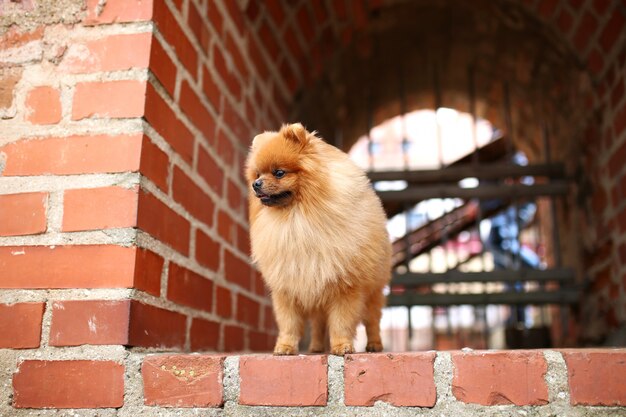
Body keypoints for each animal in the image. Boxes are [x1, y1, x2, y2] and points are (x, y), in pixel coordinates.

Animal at [245, 122, 388, 354]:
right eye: (257, 174)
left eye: (279, 173)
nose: (256, 184)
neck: (296, 220)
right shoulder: (287, 288)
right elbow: (289, 324)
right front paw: (285, 346)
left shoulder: (346, 287)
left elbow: (341, 322)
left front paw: (342, 345)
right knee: (319, 324)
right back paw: (316, 347)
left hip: (373, 292)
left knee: (372, 320)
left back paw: (374, 344)